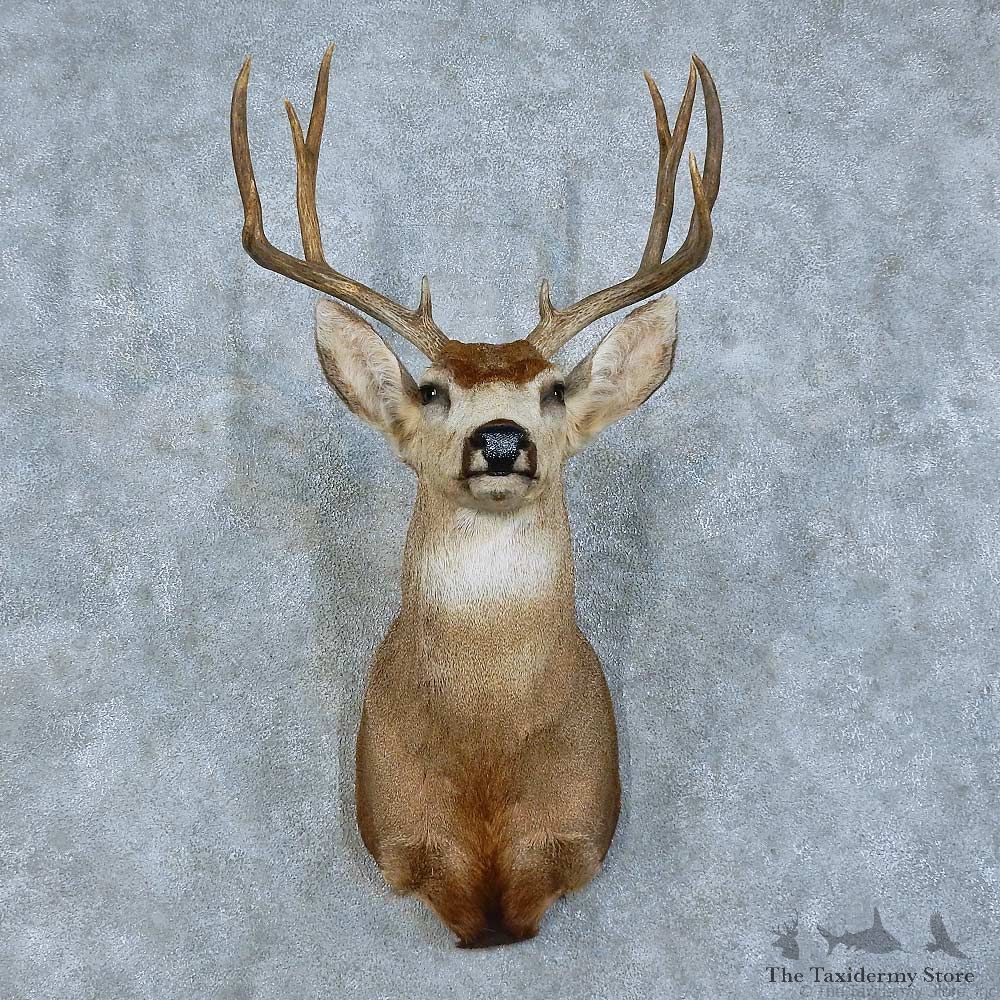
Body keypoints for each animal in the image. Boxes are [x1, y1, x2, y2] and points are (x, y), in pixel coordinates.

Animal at [230, 43, 722, 947]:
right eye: (432, 390)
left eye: (554, 389)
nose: (499, 438)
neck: (487, 748)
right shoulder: (402, 840)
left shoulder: (572, 837)